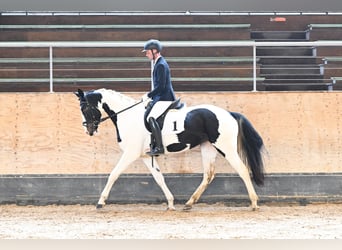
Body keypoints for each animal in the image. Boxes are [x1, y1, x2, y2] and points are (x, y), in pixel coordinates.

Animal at [75, 88, 264, 211]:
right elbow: (159, 178)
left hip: (226, 148)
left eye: (86, 108)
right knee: (208, 175)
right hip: (208, 147)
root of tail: (229, 113)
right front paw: (171, 203)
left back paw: (254, 203)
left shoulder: (130, 153)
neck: (128, 116)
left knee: (242, 170)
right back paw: (189, 204)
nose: (89, 131)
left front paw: (101, 202)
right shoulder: (145, 156)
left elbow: (113, 174)